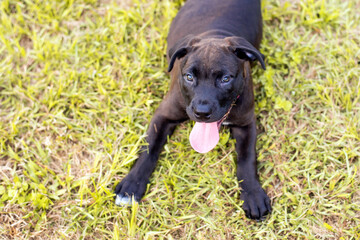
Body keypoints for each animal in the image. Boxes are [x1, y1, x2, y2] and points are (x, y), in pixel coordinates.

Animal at [115, 0, 270, 219]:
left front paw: (253, 194)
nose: (202, 112)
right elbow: (149, 147)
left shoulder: (246, 124)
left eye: (225, 79)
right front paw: (131, 185)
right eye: (189, 77)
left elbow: (247, 159)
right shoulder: (164, 114)